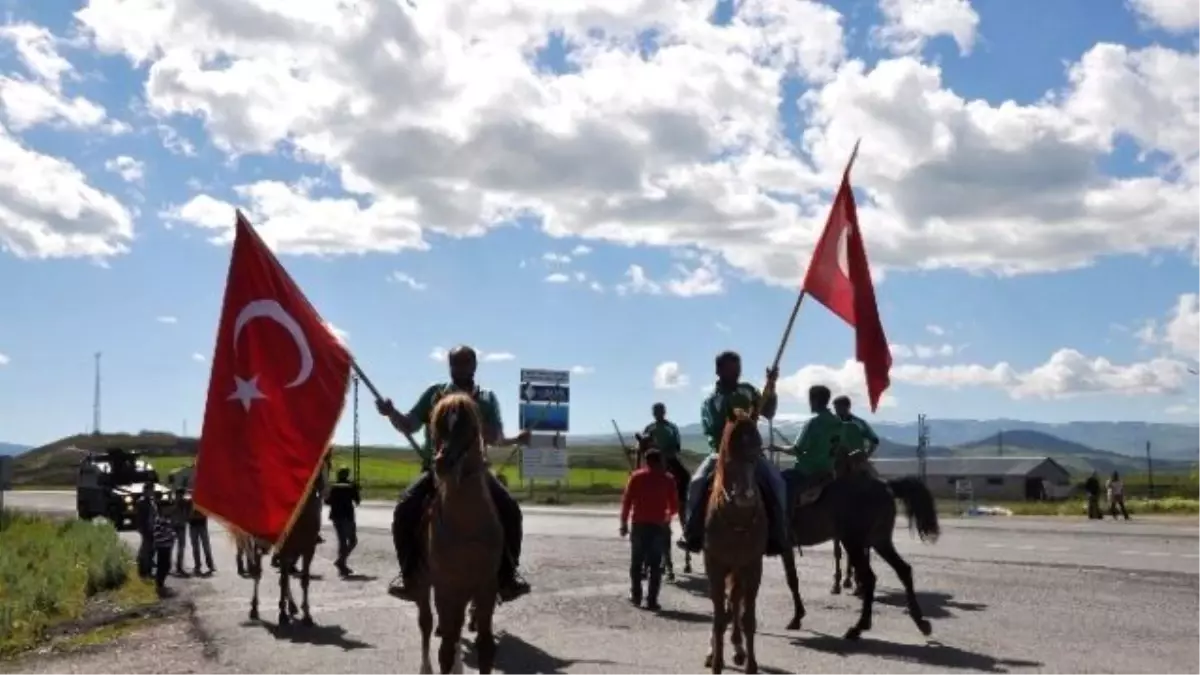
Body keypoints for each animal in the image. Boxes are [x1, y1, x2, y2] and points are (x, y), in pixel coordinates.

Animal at [415, 389, 504, 672]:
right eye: (436, 423)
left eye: (469, 426)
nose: (443, 463)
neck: (467, 525)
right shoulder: (446, 587)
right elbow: (444, 647)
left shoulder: (485, 585)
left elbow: (485, 646)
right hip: (424, 584)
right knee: (427, 624)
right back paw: (426, 667)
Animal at [700, 410, 768, 672]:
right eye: (729, 453)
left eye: (758, 450)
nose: (745, 497)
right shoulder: (715, 565)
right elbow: (718, 617)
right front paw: (716, 662)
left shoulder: (752, 565)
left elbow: (748, 618)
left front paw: (751, 665)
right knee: (726, 608)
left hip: (739, 570)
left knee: (736, 602)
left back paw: (739, 648)